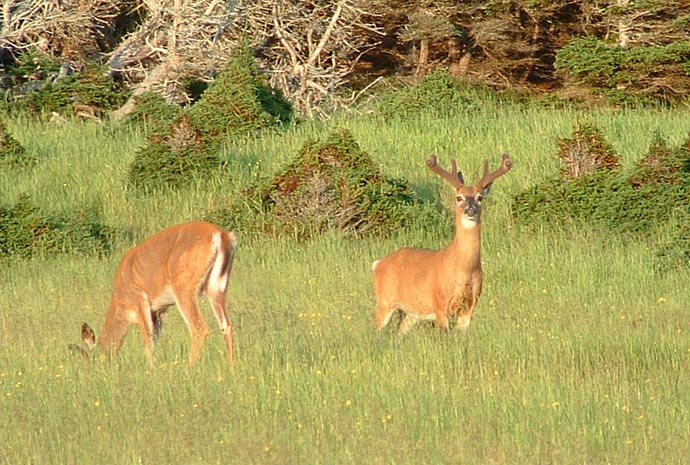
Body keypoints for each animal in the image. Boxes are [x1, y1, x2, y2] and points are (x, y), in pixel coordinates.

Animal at [68, 221, 236, 366]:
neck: (120, 301)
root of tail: (221, 235)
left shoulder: (140, 299)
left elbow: (148, 341)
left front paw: (152, 369)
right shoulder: (160, 309)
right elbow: (154, 338)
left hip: (184, 287)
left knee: (199, 328)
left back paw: (188, 368)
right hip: (218, 286)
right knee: (226, 325)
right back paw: (231, 367)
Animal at [370, 154, 510, 336]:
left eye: (480, 197)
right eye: (459, 197)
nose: (470, 210)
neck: (464, 270)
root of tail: (378, 264)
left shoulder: (470, 306)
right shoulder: (440, 304)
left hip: (411, 313)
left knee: (399, 333)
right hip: (384, 300)